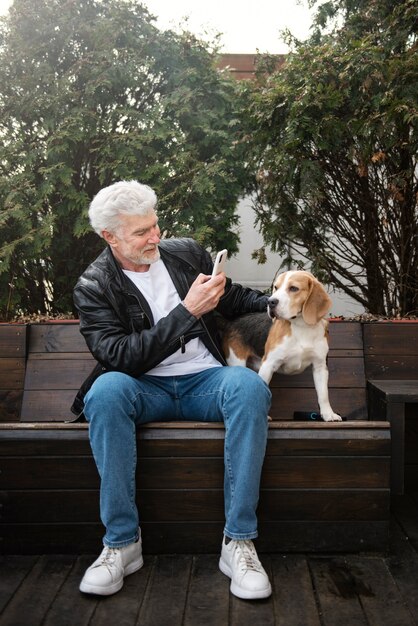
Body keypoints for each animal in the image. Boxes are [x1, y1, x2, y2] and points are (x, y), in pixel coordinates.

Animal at [224, 268, 342, 420]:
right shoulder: (269, 364)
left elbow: (323, 395)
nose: (270, 302)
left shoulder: (320, 366)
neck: (301, 326)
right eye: (276, 287)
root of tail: (231, 322)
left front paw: (328, 414)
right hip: (237, 361)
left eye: (293, 288)